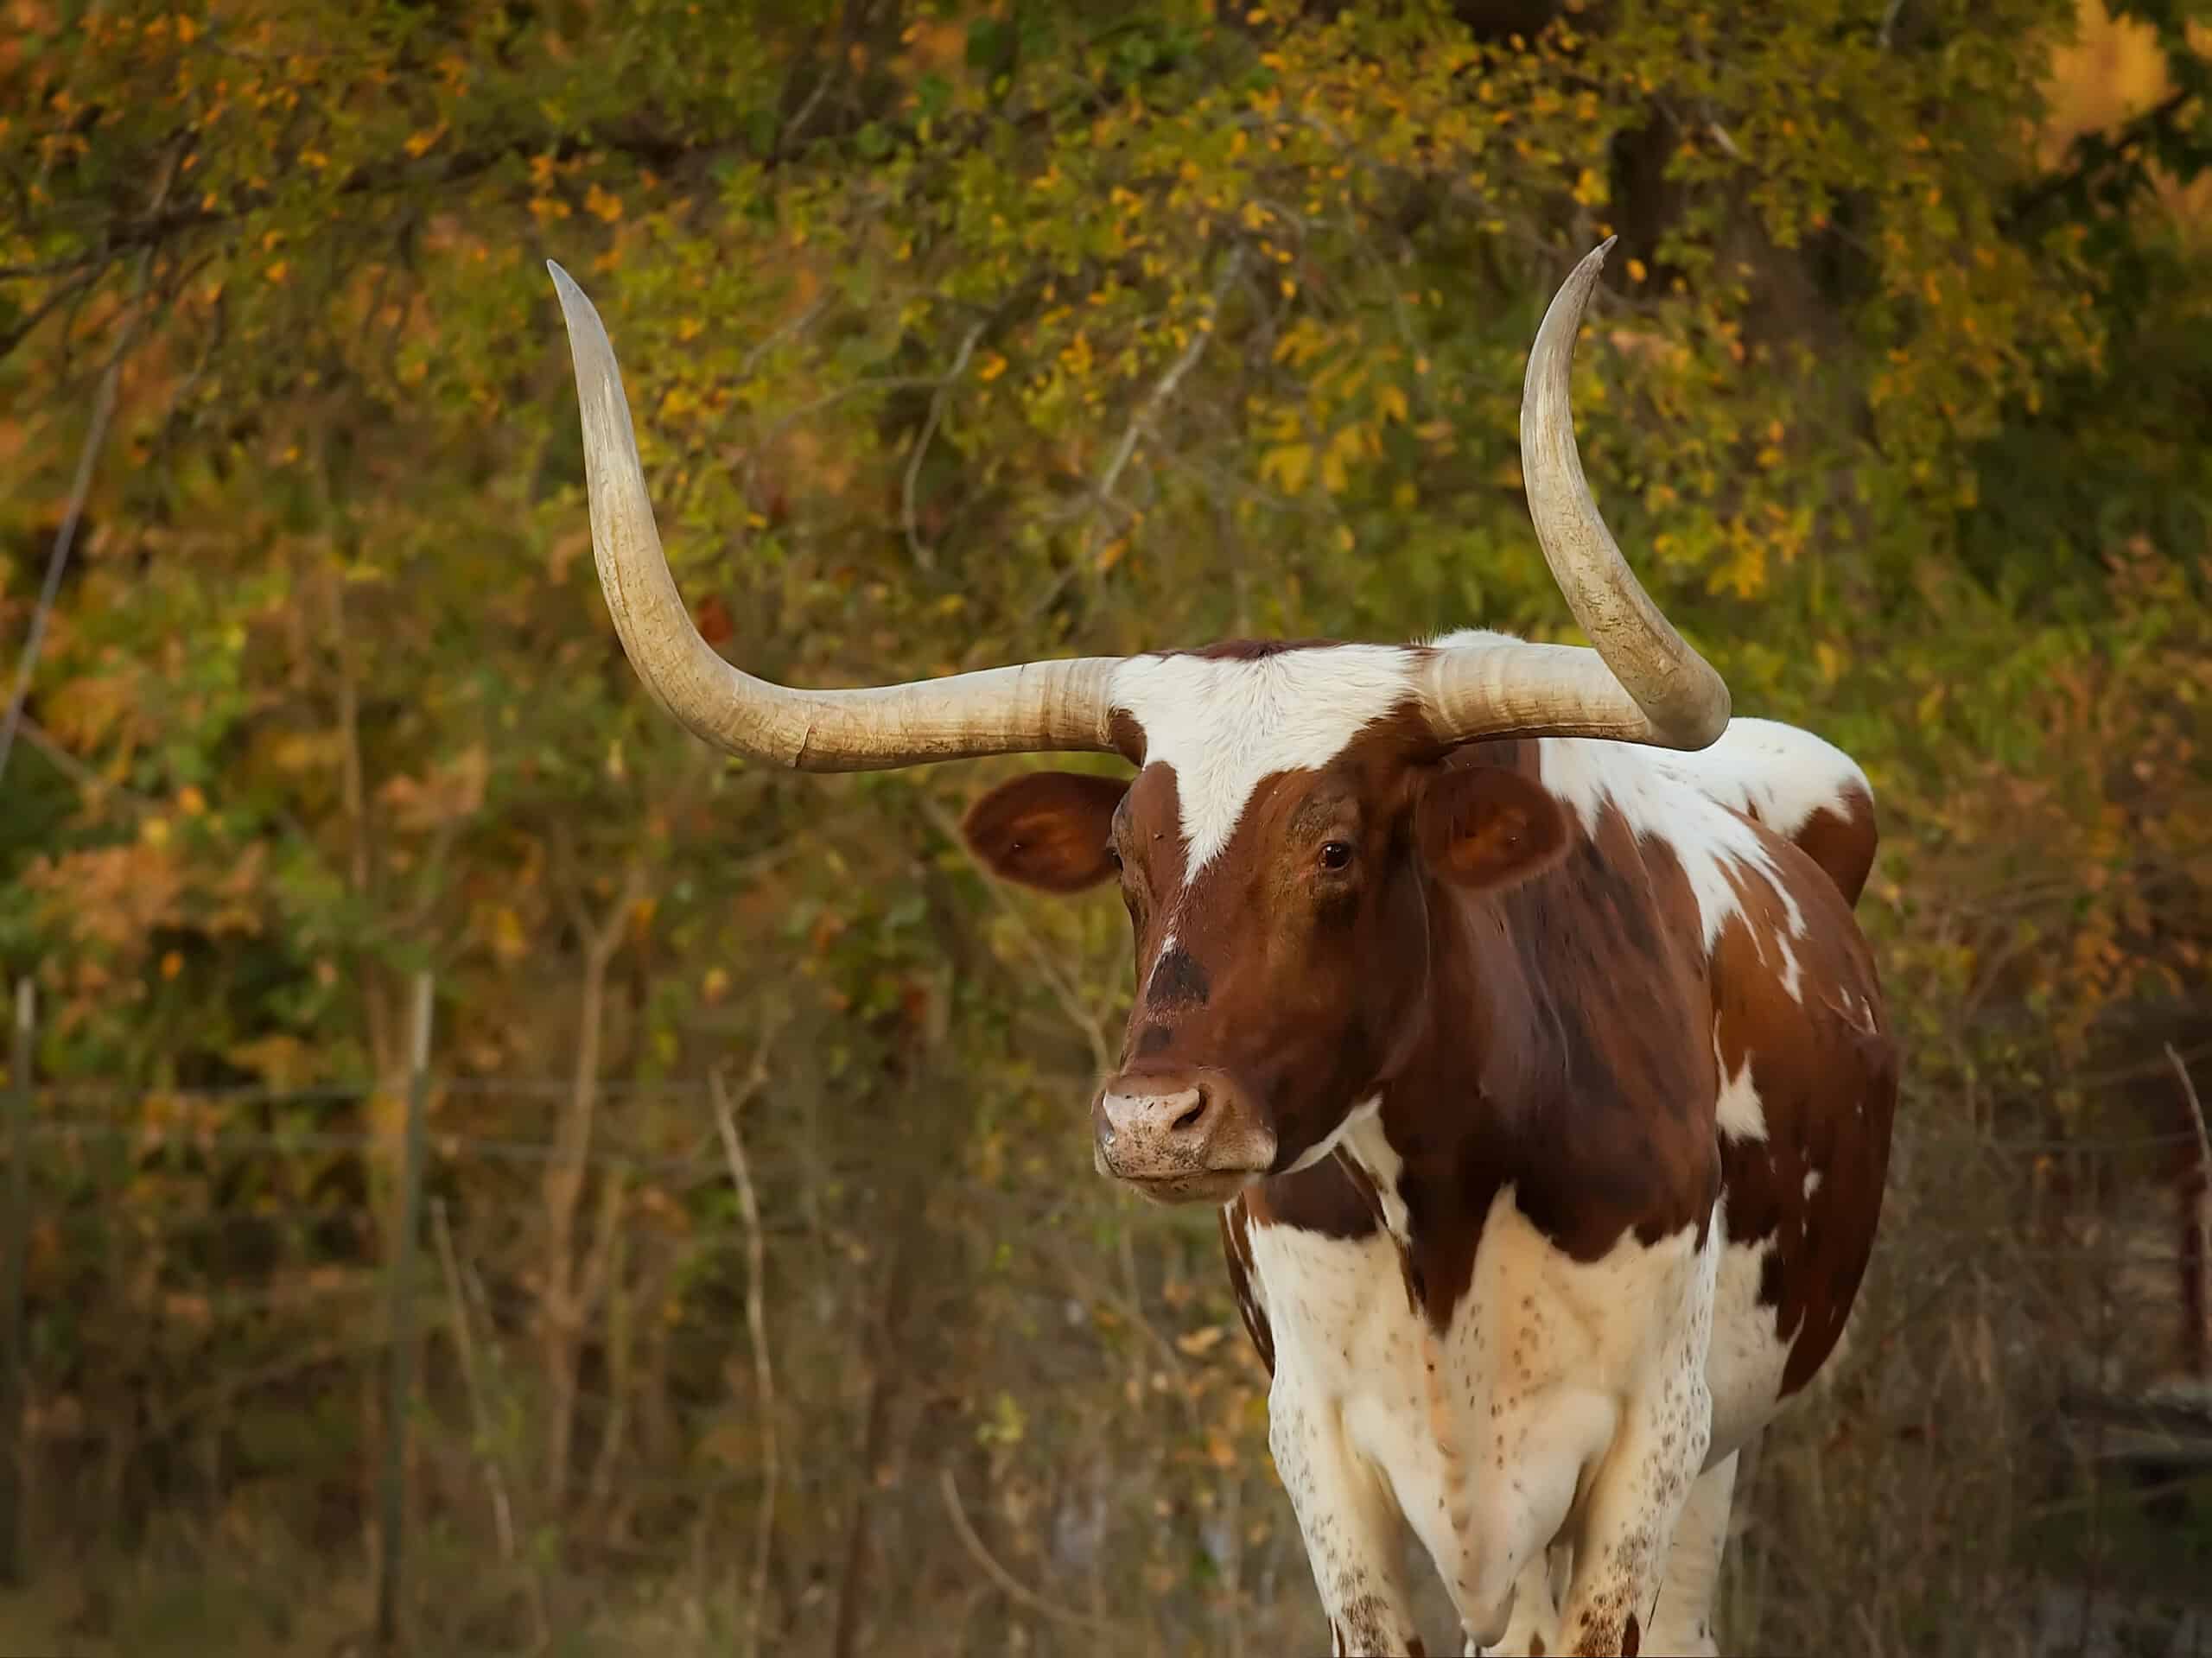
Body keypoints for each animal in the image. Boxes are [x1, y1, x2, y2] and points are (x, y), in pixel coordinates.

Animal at [546, 239, 1898, 1657]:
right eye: (1125, 858)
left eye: (1339, 847)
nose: (1153, 1120)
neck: (1452, 1201)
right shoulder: (1321, 1447)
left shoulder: (1650, 1440)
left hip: (1714, 1453)